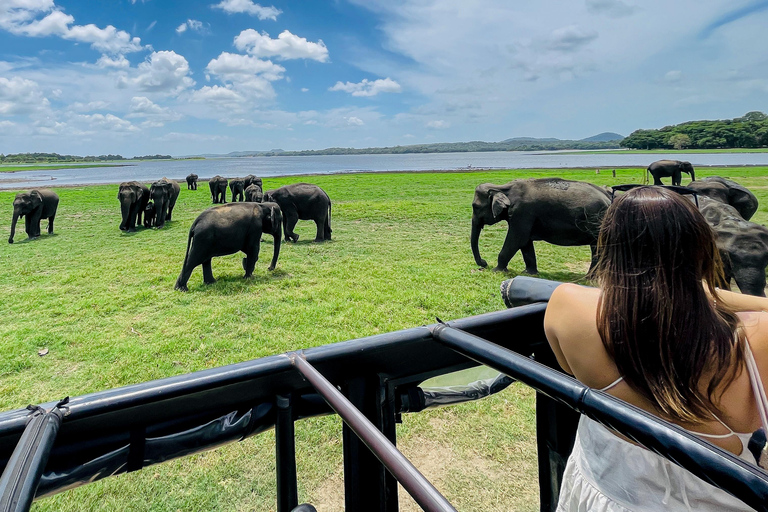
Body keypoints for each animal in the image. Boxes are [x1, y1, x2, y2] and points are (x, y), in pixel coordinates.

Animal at [471, 178, 611, 273]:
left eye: (475, 206)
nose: (484, 263)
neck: (503, 188)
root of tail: (609, 199)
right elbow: (525, 243)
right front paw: (529, 273)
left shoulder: (522, 213)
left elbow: (516, 240)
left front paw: (497, 270)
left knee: (597, 249)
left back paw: (589, 278)